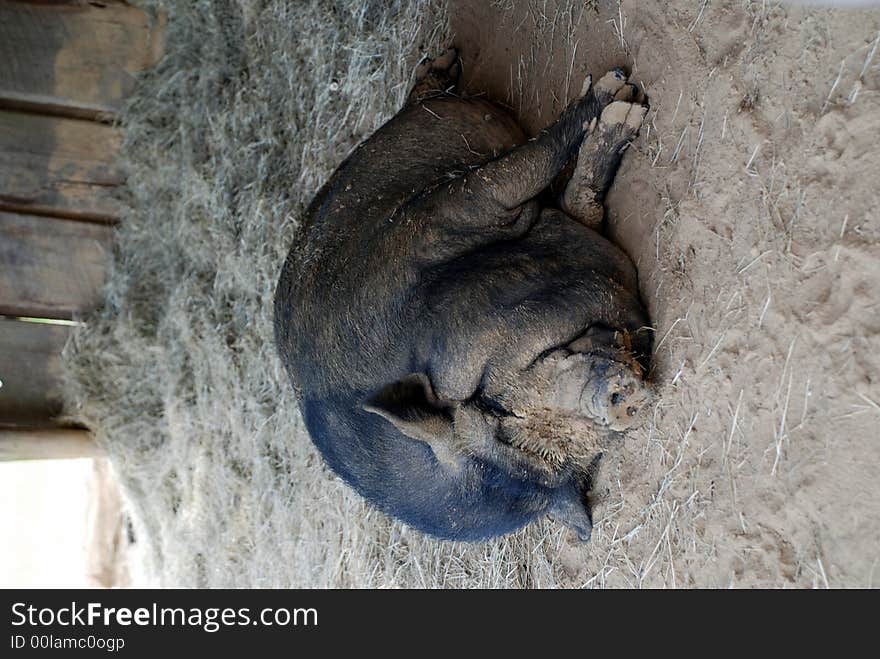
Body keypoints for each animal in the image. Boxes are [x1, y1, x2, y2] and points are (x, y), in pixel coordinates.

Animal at [276, 51, 652, 544]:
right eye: (502, 415)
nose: (617, 403)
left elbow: (571, 191)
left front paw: (620, 101)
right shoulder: (453, 208)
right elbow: (531, 174)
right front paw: (617, 98)